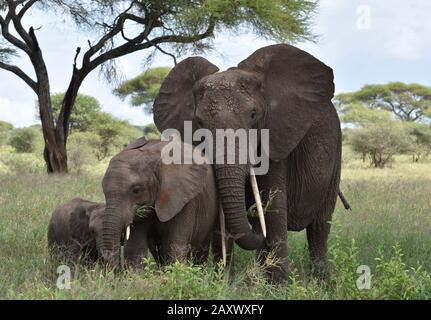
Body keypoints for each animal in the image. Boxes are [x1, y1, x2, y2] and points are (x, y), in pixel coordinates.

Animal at [154, 43, 342, 282]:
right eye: (199, 122)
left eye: (253, 115)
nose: (251, 211)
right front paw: (225, 283)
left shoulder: (276, 134)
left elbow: (274, 204)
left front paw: (281, 286)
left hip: (336, 155)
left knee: (319, 227)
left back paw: (322, 281)